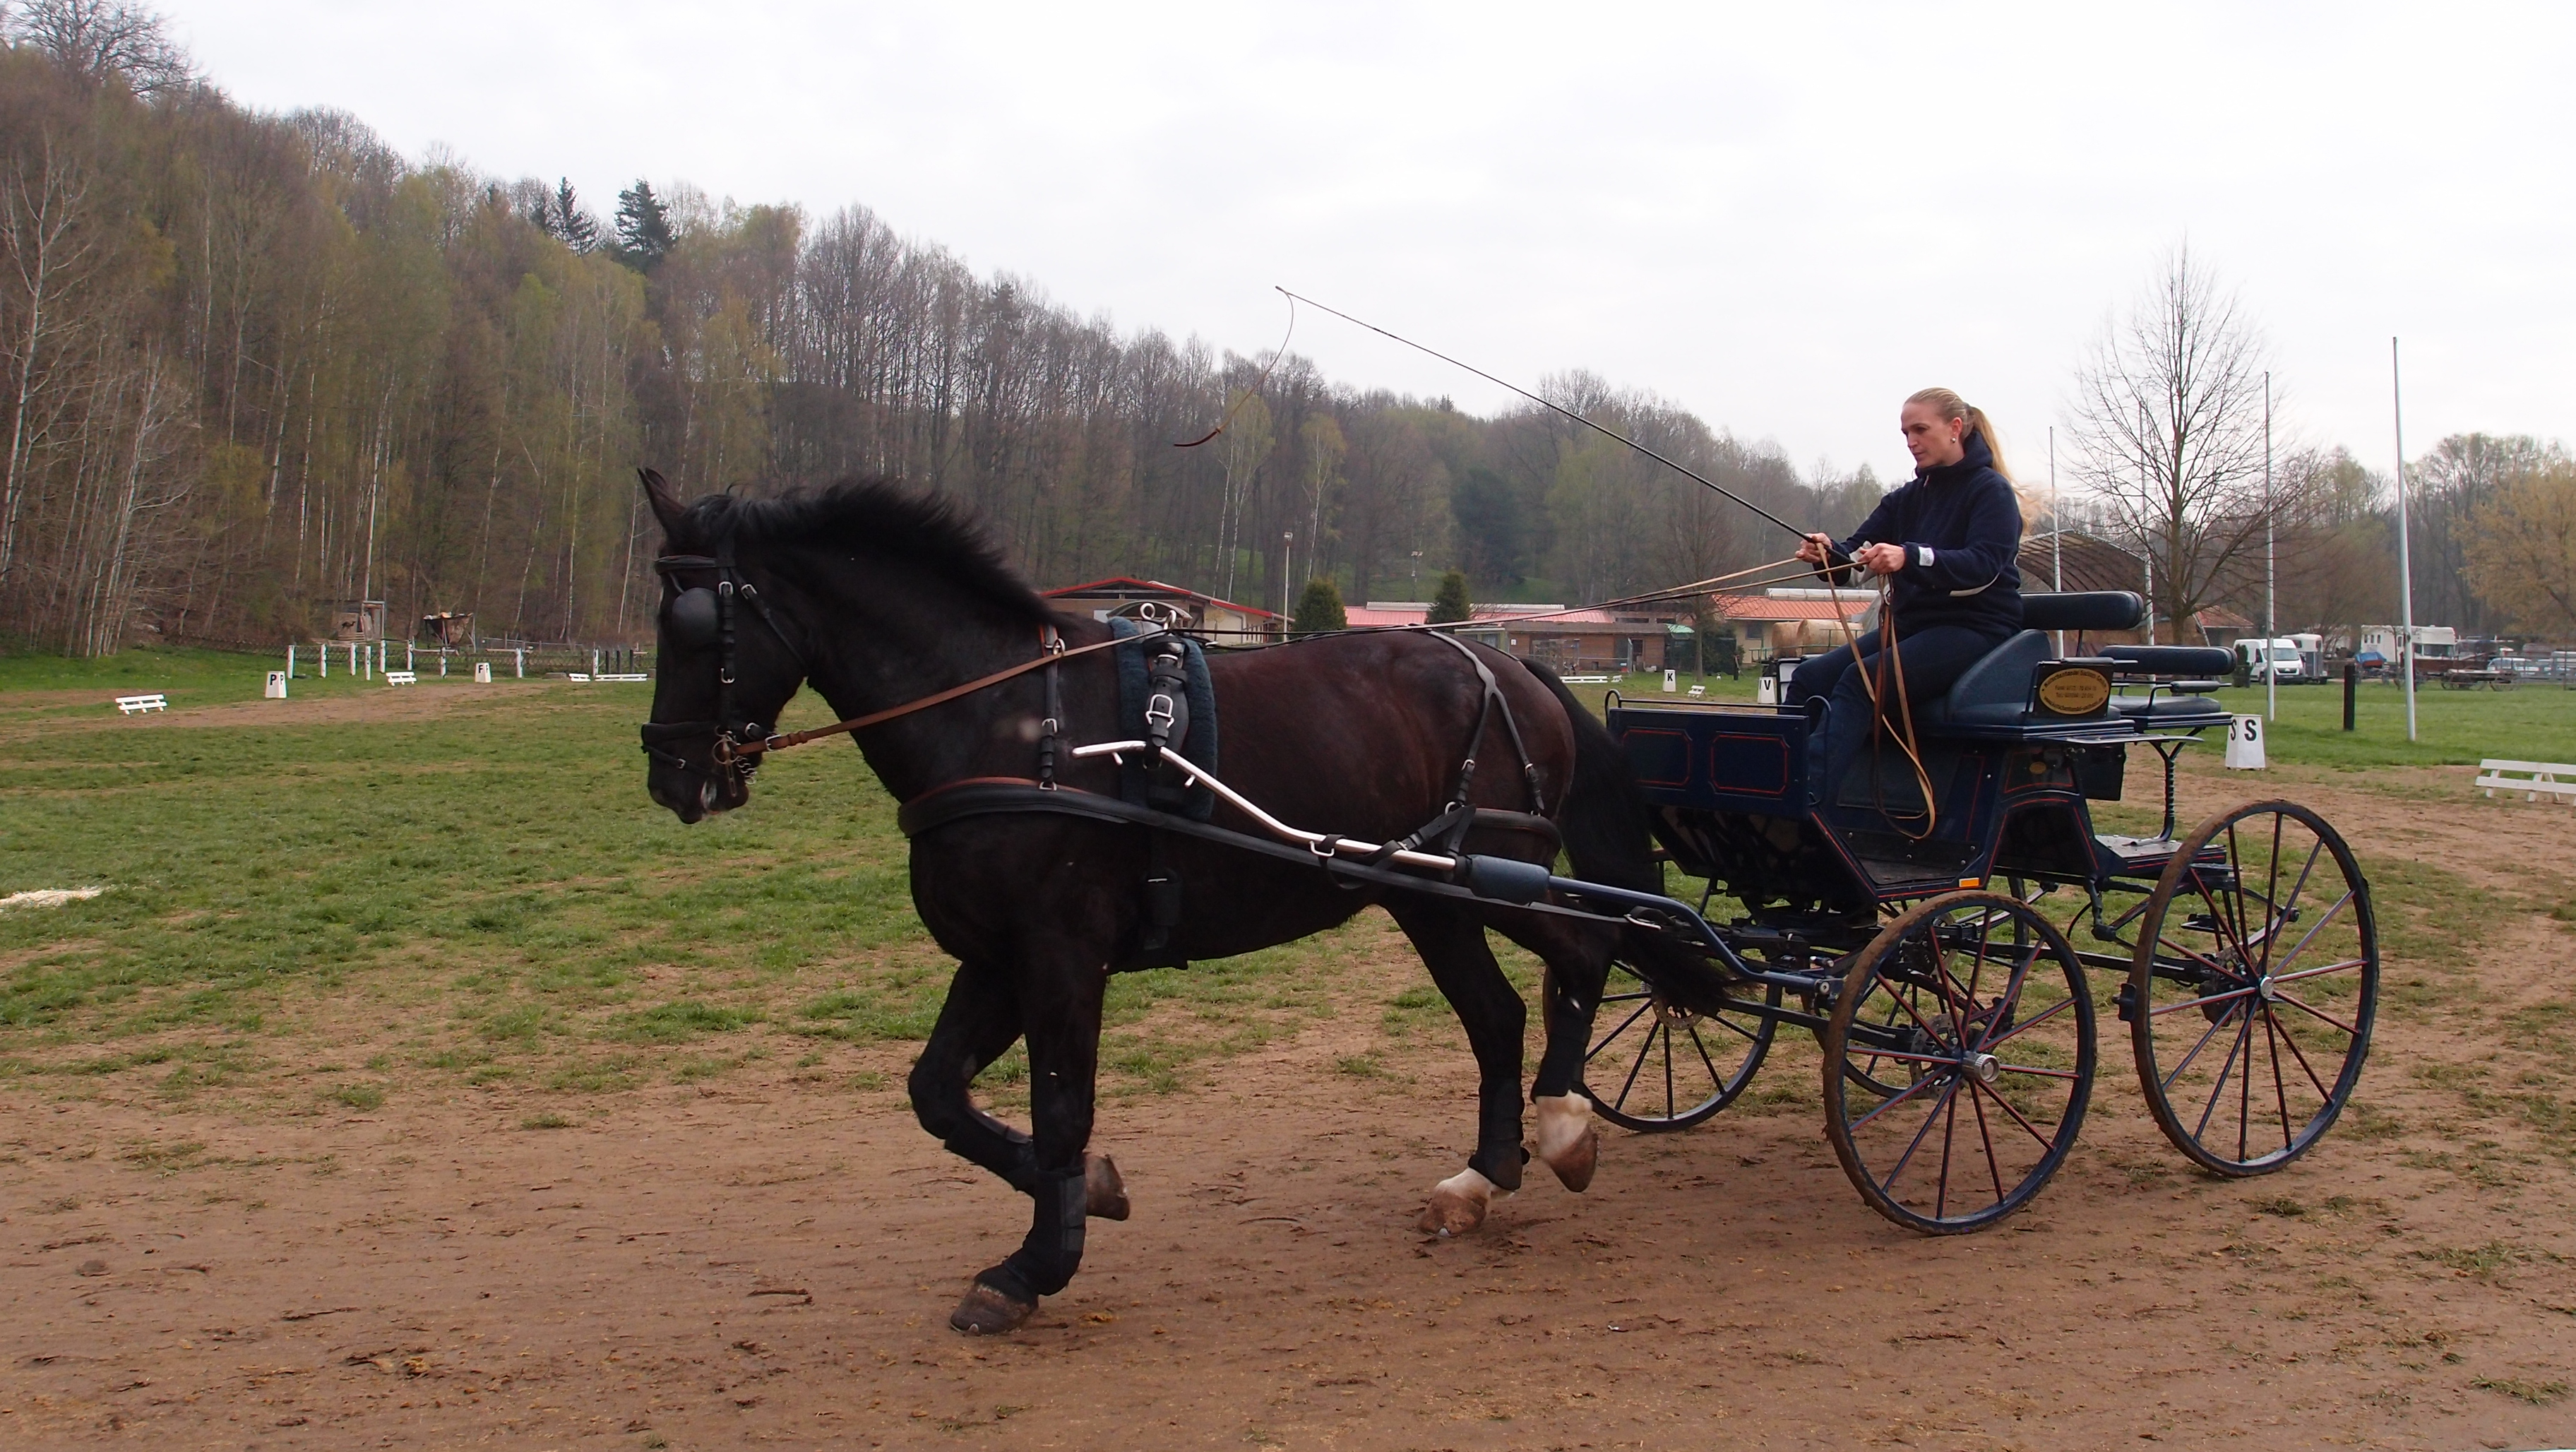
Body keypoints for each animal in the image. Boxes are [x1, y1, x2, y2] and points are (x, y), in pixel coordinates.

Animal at [641, 471, 1679, 1328]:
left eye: (687, 620)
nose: (671, 776)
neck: (1010, 723)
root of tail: (1508, 666)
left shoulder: (1060, 953)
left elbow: (1063, 1105)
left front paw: (1035, 1264)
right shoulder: (997, 955)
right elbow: (937, 1092)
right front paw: (1087, 1192)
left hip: (1502, 875)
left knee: (1585, 953)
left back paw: (1563, 1127)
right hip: (1430, 899)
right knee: (1497, 1016)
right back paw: (1484, 1176)